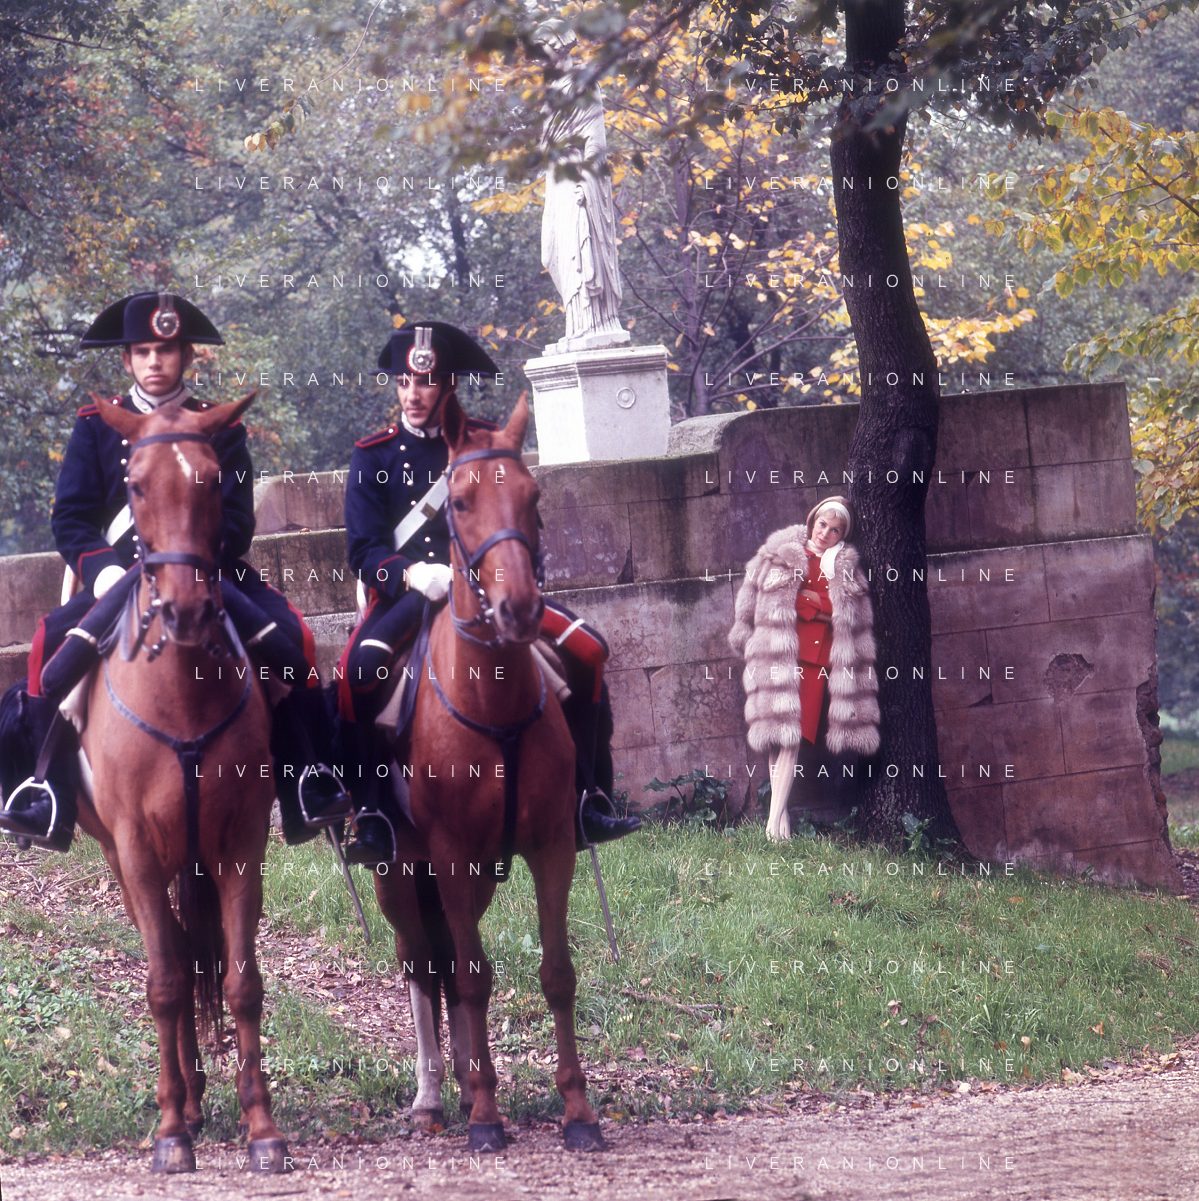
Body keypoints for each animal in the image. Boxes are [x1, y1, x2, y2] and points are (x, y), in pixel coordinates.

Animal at [74, 395, 289, 1173]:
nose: (189, 610)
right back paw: (186, 1108)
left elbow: (241, 982)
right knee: (166, 953)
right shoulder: (135, 849)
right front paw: (169, 1131)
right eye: (134, 485)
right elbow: (166, 983)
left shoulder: (241, 844)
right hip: (125, 858)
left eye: (214, 480)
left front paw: (262, 1128)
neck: (182, 694)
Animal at [371, 392, 605, 1153]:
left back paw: (470, 1077)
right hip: (399, 870)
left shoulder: (552, 846)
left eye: (533, 497)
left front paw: (577, 1109)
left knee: (448, 959)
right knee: (424, 962)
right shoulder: (447, 852)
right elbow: (471, 980)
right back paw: (434, 1096)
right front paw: (482, 1117)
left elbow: (556, 972)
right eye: (461, 500)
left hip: (471, 878)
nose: (519, 608)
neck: (492, 701)